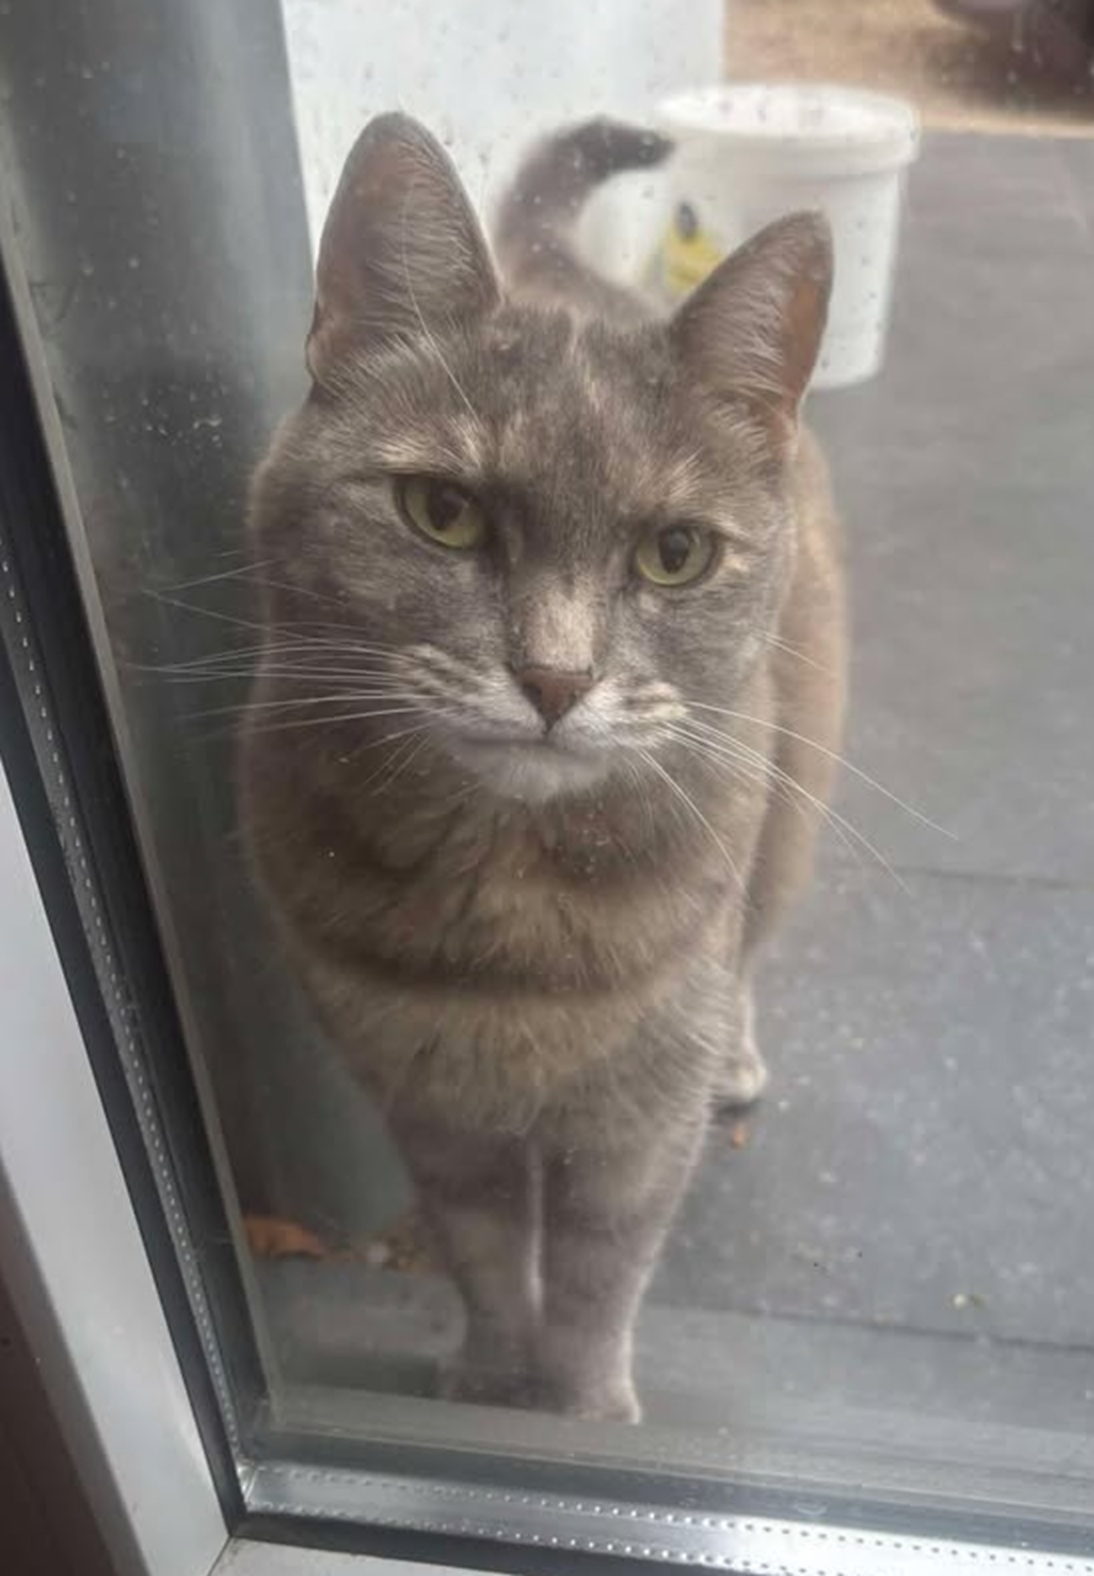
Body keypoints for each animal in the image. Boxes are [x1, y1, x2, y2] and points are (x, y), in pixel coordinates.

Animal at [240, 114, 845, 1423]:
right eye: (442, 511)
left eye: (674, 553)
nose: (555, 678)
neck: (507, 913)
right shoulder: (427, 1106)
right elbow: (480, 1247)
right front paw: (486, 1374)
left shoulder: (632, 1127)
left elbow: (596, 1270)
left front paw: (577, 1408)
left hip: (790, 818)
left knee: (750, 949)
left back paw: (739, 1054)